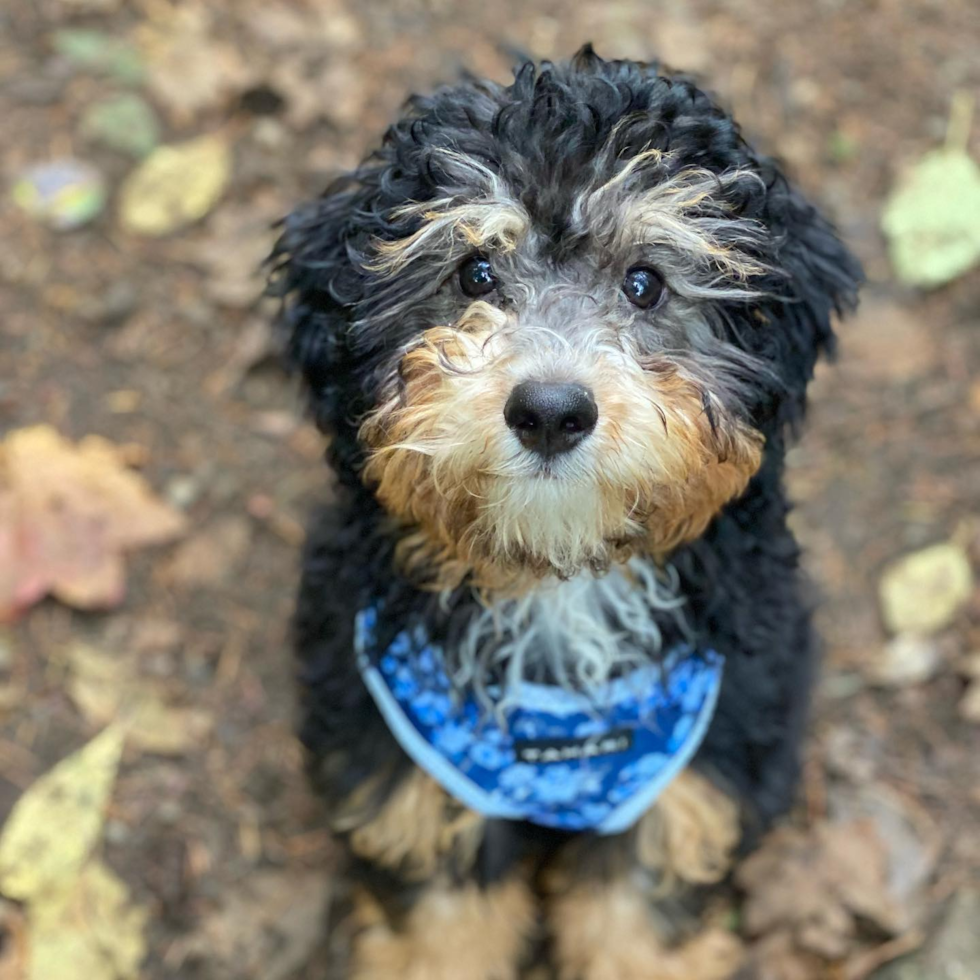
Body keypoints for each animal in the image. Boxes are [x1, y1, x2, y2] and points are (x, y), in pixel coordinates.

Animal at [268, 42, 856, 976]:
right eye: (473, 272)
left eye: (646, 284)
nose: (550, 409)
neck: (555, 587)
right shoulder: (411, 783)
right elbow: (443, 933)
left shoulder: (688, 783)